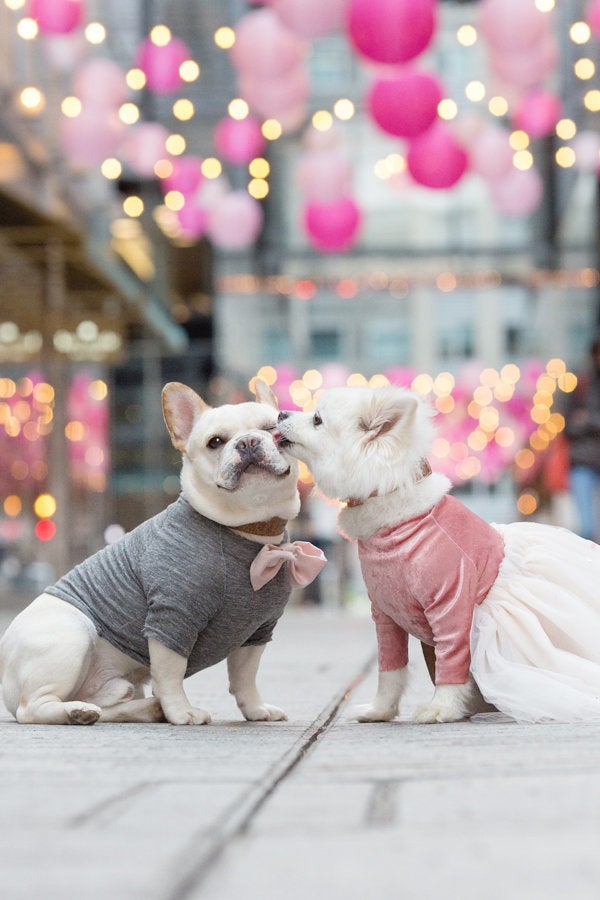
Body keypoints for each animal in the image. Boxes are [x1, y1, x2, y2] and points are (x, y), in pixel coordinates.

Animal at [278, 386, 600, 724]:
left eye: (317, 419)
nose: (281, 413)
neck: (397, 523)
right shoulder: (386, 614)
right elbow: (390, 669)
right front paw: (381, 710)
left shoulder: (452, 607)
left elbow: (450, 661)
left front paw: (441, 708)